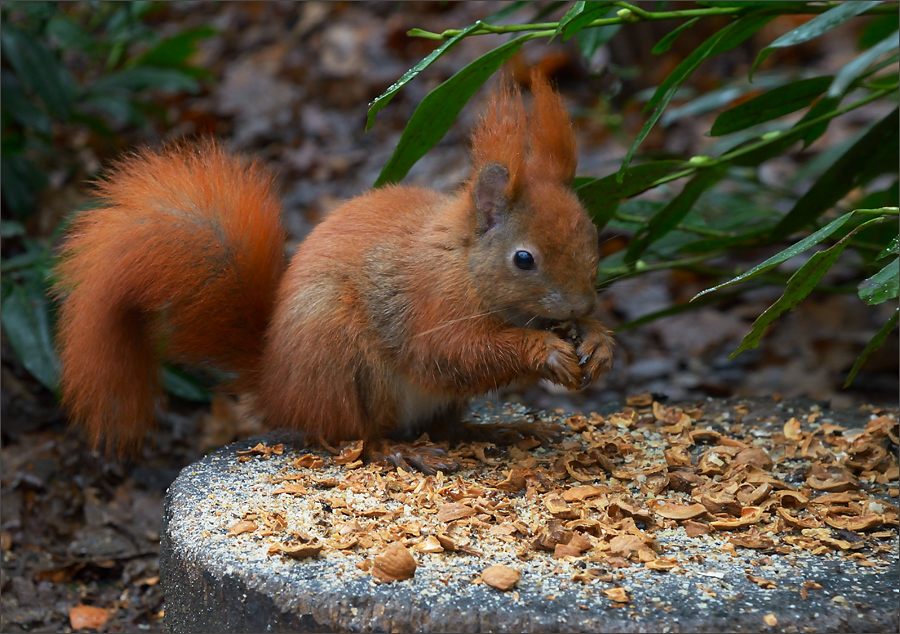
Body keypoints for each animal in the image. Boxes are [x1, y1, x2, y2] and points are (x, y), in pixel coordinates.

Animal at [54, 74, 612, 456]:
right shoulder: (431, 301)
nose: (584, 304)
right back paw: (402, 453)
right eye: (524, 259)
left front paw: (598, 341)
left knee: (445, 426)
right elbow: (453, 352)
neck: (463, 261)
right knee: (353, 437)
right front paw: (545, 351)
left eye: (592, 235)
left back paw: (498, 429)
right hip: (342, 358)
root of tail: (277, 386)